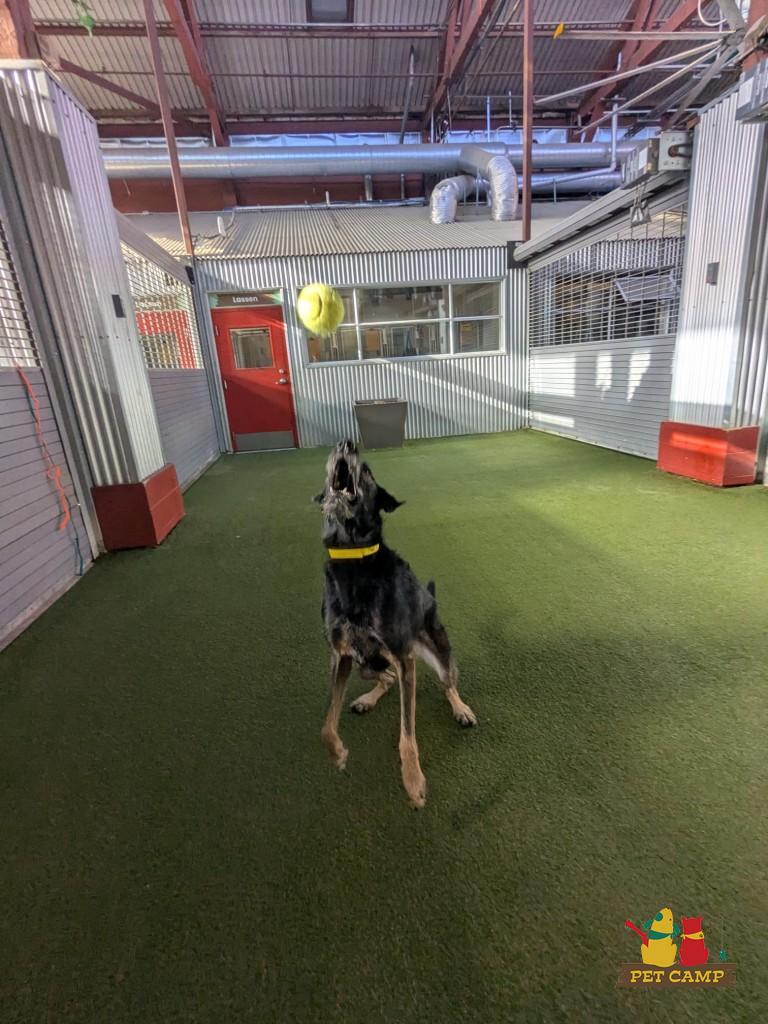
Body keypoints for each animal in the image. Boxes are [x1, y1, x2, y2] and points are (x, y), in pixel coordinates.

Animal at [314, 440, 476, 808]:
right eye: (330, 460)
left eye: (367, 470)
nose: (346, 443)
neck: (354, 561)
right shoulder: (340, 655)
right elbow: (327, 723)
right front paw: (338, 754)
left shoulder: (405, 658)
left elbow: (407, 733)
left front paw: (413, 783)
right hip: (366, 664)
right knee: (385, 678)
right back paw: (367, 699)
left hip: (435, 652)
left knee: (448, 683)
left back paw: (461, 709)